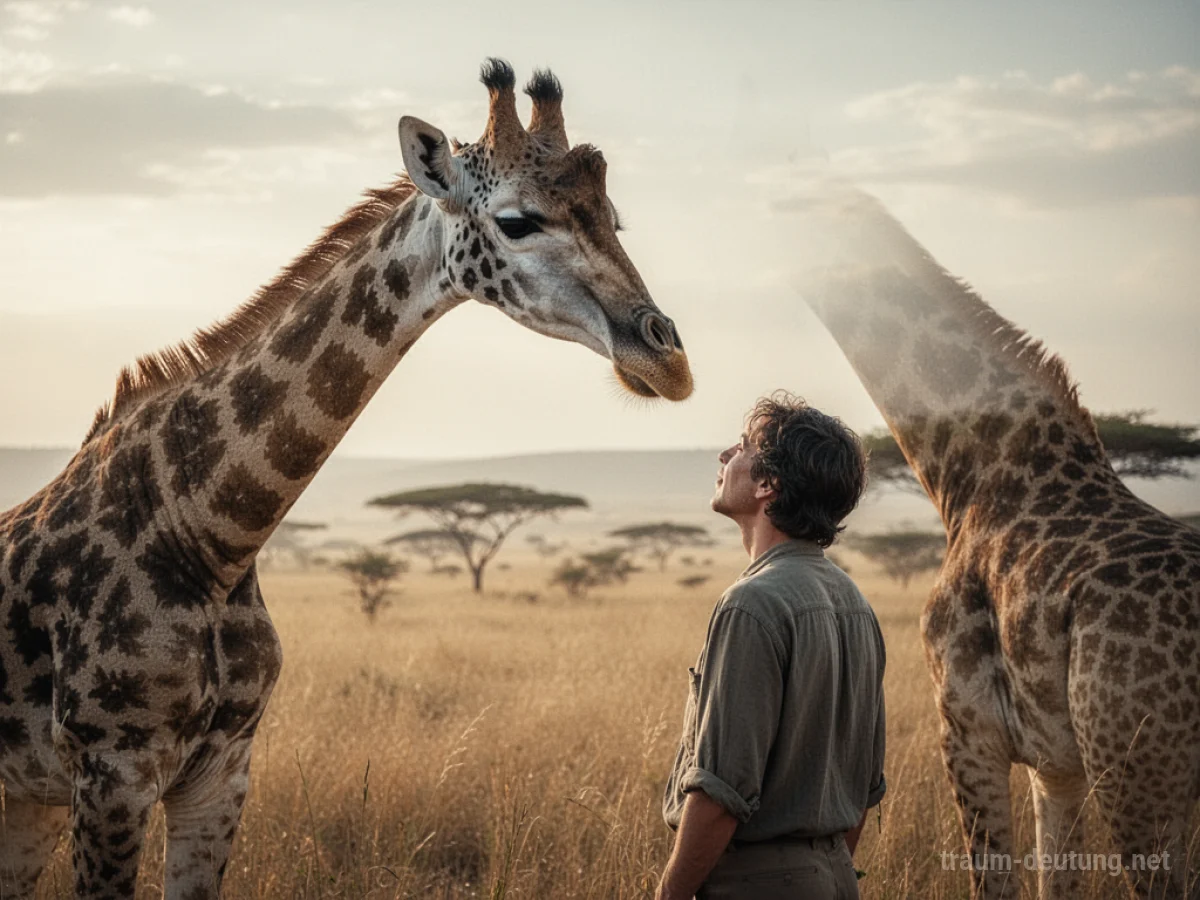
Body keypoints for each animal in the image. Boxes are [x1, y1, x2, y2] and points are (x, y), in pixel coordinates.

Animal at [0, 59, 692, 898]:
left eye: (612, 220)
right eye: (519, 221)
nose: (668, 359)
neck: (209, 534)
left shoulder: (219, 776)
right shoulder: (111, 772)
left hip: (29, 797)